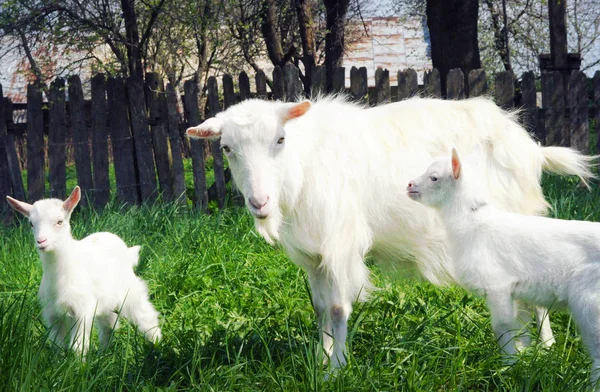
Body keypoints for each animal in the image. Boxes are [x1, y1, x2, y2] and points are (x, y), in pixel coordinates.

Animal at [188, 96, 596, 370]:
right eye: (227, 148)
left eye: (279, 140)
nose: (259, 201)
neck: (302, 164)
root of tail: (533, 148)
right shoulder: (315, 255)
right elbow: (319, 309)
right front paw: (320, 361)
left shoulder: (340, 242)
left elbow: (338, 308)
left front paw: (339, 368)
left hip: (522, 223)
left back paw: (545, 348)